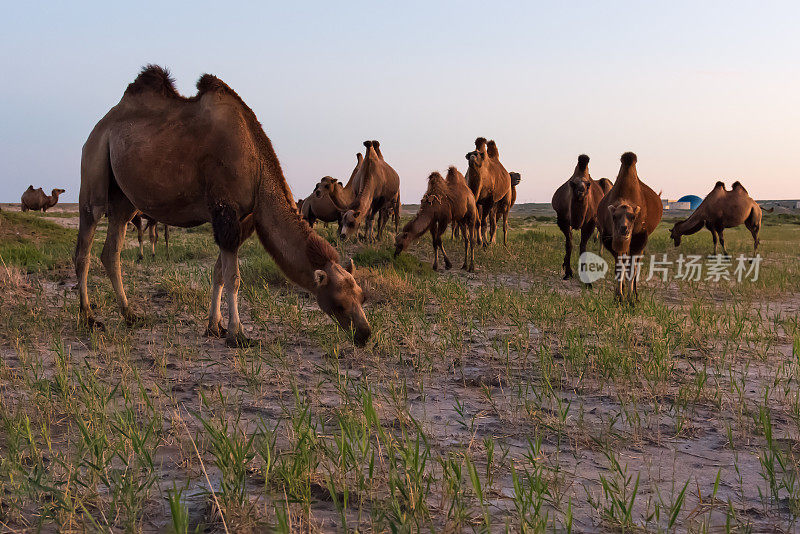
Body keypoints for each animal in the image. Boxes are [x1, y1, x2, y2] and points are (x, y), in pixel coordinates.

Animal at [73, 66, 370, 348]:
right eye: (339, 303)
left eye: (361, 296)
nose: (365, 334)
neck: (257, 166)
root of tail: (100, 125)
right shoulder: (225, 211)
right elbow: (234, 277)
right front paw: (238, 335)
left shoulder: (241, 218)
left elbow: (218, 273)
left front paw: (214, 327)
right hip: (95, 161)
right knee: (85, 242)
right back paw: (89, 317)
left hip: (124, 197)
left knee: (111, 250)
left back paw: (130, 315)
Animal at [596, 153, 664, 304]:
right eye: (614, 216)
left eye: (633, 217)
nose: (624, 229)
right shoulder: (610, 239)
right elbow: (619, 268)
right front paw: (618, 297)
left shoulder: (639, 239)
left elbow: (632, 269)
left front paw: (630, 299)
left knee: (635, 265)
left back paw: (636, 295)